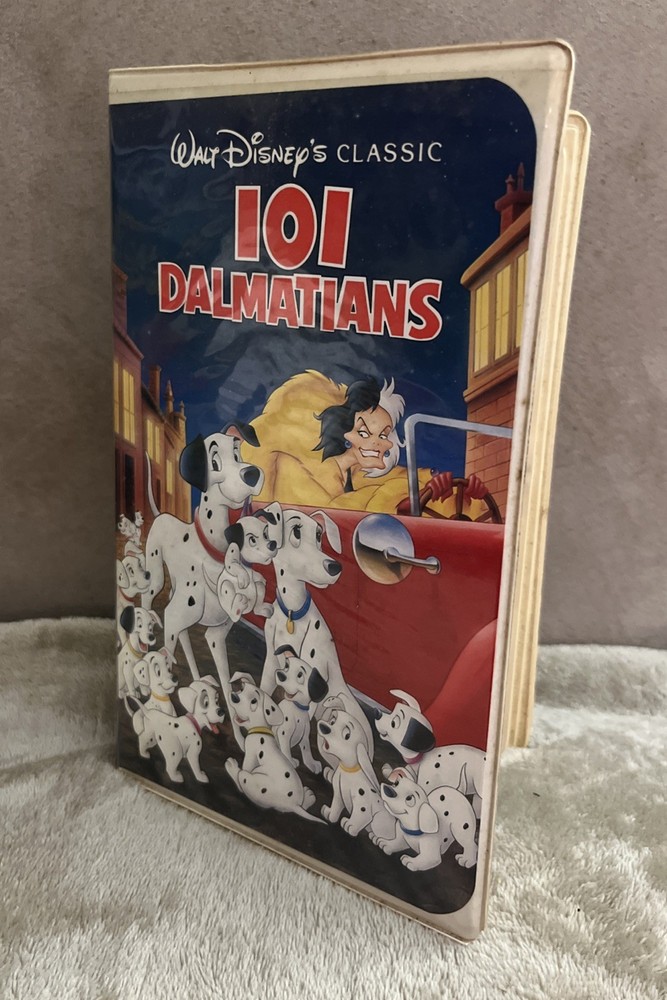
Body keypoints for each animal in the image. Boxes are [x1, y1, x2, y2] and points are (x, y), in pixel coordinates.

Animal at [141, 422, 264, 697]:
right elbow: (166, 660)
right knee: (147, 602)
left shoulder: (216, 637)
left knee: (185, 640)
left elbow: (228, 689)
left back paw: (199, 681)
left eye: (237, 452)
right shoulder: (173, 618)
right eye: (214, 462)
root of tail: (162, 515)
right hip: (155, 581)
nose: (252, 473)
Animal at [224, 673, 322, 823]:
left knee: (240, 779)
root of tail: (293, 804)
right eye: (241, 688)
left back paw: (231, 766)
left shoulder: (250, 757)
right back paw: (309, 797)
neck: (261, 730)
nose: (235, 696)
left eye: (254, 701)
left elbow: (244, 770)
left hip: (249, 780)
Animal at [273, 644, 329, 774]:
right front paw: (288, 761)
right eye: (287, 666)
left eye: (299, 675)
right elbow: (285, 748)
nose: (281, 675)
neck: (296, 709)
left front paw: (311, 764)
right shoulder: (284, 733)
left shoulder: (304, 737)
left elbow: (306, 750)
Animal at [316, 699, 395, 839]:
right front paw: (330, 814)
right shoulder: (339, 795)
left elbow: (360, 817)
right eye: (332, 721)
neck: (348, 772)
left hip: (378, 822)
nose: (324, 727)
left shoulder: (362, 808)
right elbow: (336, 807)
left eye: (347, 735)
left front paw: (350, 827)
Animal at [375, 690, 486, 819]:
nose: (377, 713)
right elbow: (401, 772)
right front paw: (388, 770)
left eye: (394, 723)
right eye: (392, 711)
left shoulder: (426, 789)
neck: (423, 757)